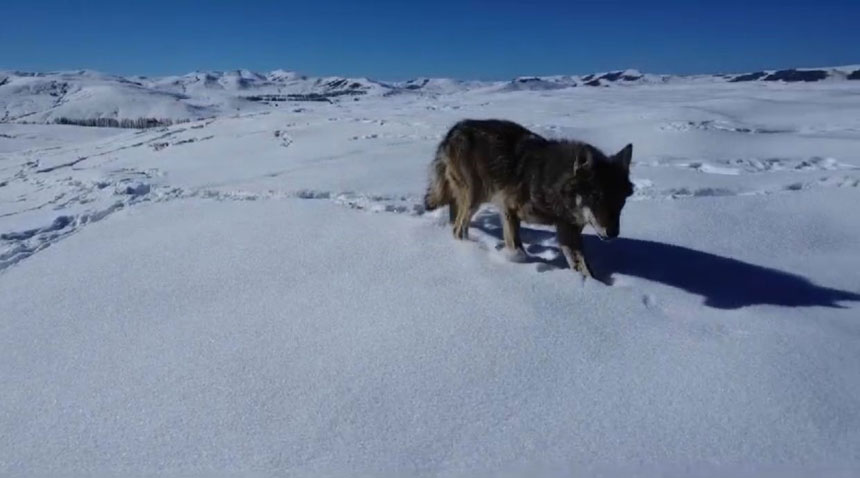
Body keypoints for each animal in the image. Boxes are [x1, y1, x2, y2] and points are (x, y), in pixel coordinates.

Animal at [424, 117, 632, 278]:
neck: (550, 183)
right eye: (596, 197)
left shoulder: (569, 232)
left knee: (456, 220)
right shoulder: (508, 209)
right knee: (458, 229)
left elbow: (585, 270)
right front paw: (515, 262)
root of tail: (454, 130)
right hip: (476, 197)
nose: (613, 233)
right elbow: (518, 250)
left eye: (621, 202)